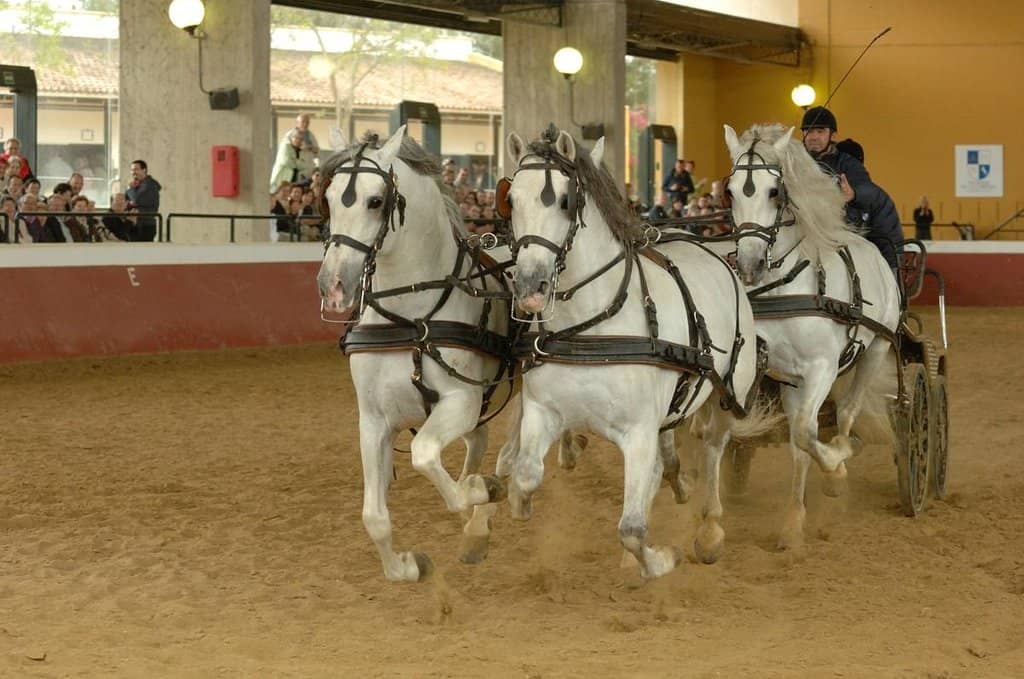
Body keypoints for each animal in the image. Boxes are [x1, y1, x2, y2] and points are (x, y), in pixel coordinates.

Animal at [317, 127, 516, 581]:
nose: (333, 285)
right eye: (329, 197)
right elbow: (374, 516)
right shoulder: (373, 419)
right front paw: (407, 568)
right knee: (480, 441)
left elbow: (426, 457)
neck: (409, 320)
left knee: (516, 451)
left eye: (376, 201)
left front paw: (479, 491)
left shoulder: (461, 400)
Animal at [501, 125, 773, 579]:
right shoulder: (543, 411)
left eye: (564, 201)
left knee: (714, 449)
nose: (530, 287)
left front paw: (660, 560)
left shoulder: (639, 431)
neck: (591, 329)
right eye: (511, 199)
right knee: (667, 461)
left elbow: (630, 529)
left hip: (728, 391)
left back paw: (709, 530)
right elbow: (523, 479)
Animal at [723, 123, 901, 548]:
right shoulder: (784, 374)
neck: (789, 287)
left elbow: (808, 432)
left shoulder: (822, 368)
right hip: (795, 382)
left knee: (850, 409)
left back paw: (844, 452)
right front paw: (793, 522)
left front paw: (835, 472)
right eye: (730, 191)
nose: (749, 265)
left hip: (877, 348)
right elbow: (800, 440)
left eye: (775, 191)